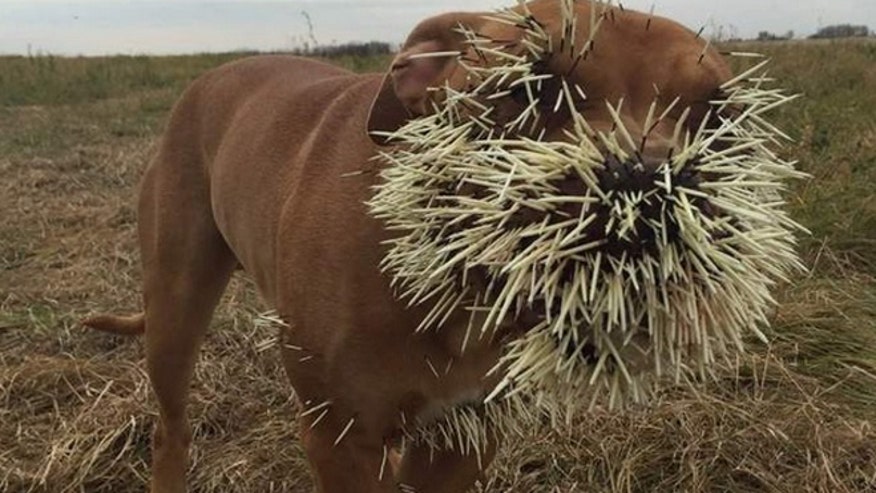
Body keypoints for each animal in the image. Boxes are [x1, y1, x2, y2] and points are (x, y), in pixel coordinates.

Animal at [87, 1, 732, 490]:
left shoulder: (465, 434)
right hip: (175, 311)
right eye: (528, 89)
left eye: (719, 117)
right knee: (170, 427)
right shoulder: (339, 437)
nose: (646, 182)